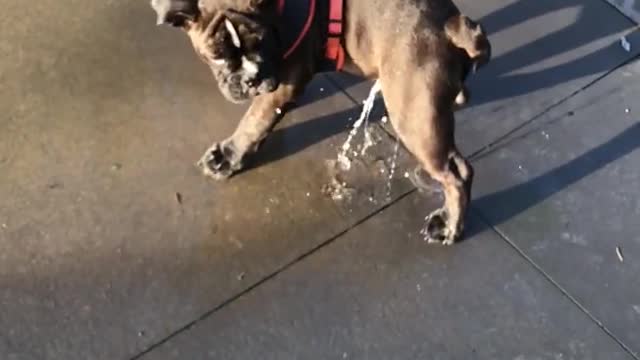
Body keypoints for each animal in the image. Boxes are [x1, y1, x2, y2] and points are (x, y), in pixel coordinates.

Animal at [150, 0, 490, 245]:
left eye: (261, 41)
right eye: (217, 55)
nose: (251, 78)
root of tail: (452, 24)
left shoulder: (285, 78)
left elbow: (255, 121)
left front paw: (228, 156)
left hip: (413, 115)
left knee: (457, 175)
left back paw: (450, 227)